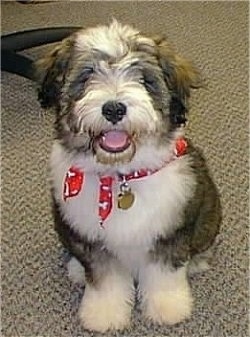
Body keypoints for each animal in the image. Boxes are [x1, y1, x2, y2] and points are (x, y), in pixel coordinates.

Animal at [35, 20, 221, 330]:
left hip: (208, 214)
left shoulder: (170, 231)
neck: (120, 177)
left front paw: (167, 307)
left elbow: (164, 273)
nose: (113, 108)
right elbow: (104, 277)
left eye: (144, 79)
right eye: (87, 75)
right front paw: (105, 313)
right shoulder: (92, 239)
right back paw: (75, 268)